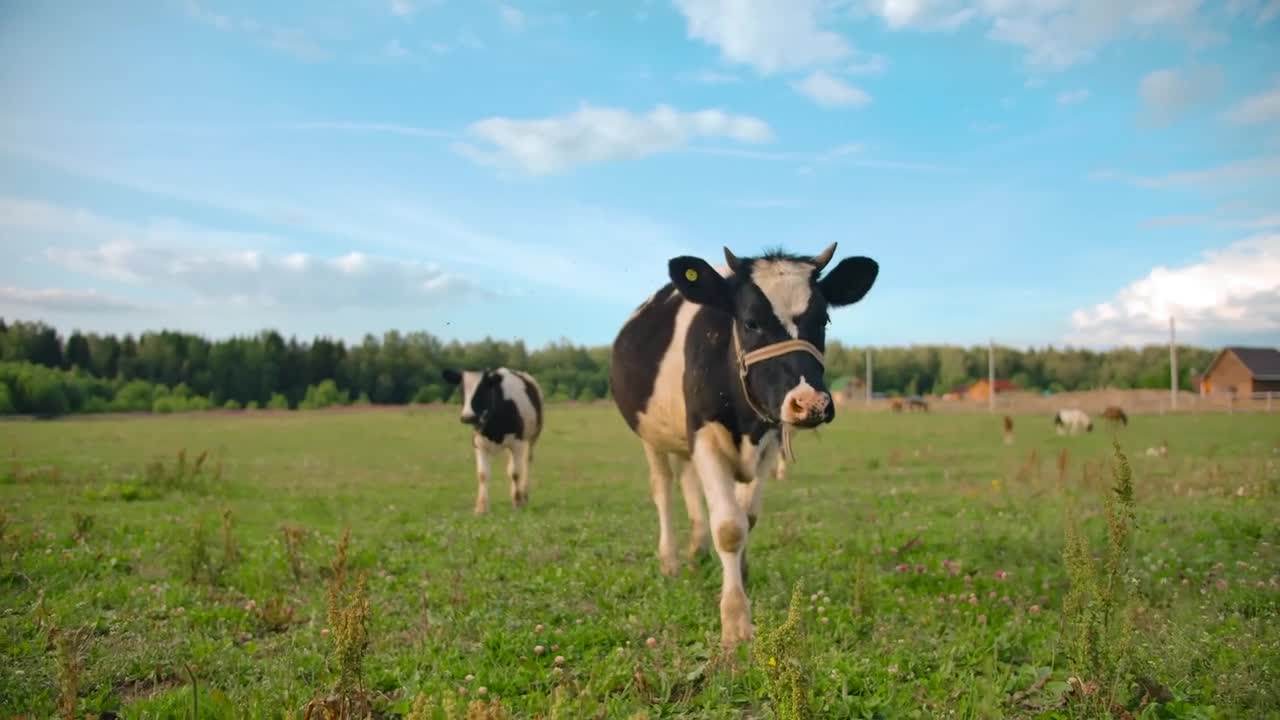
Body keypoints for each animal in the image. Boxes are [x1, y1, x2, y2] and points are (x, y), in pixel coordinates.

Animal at [442, 366, 542, 512]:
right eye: (462, 390)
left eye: (482, 390)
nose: (467, 417)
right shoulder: (479, 445)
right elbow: (483, 475)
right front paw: (481, 507)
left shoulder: (517, 443)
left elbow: (515, 473)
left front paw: (517, 502)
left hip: (532, 438)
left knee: (525, 462)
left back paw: (524, 494)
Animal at [609, 239, 880, 645]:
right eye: (751, 322)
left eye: (823, 320)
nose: (811, 403)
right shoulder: (703, 433)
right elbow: (729, 527)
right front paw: (736, 623)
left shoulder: (768, 440)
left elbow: (747, 517)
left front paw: (743, 571)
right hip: (651, 436)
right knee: (664, 489)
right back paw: (670, 560)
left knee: (689, 483)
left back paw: (696, 550)